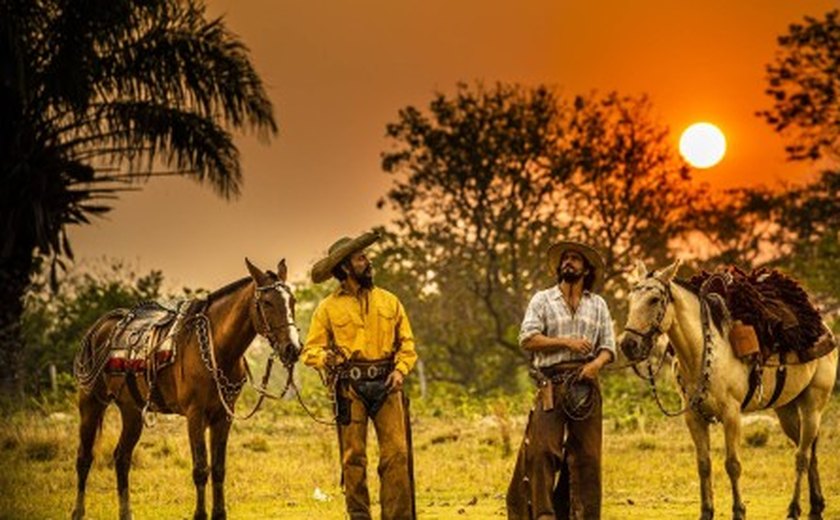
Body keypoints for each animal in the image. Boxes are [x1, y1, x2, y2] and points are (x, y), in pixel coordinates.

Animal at [71, 258, 302, 516]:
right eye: (267, 302)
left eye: (292, 301)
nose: (293, 348)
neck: (215, 347)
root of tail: (99, 328)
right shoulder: (195, 414)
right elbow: (200, 469)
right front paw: (200, 514)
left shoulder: (223, 416)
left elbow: (218, 469)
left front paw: (219, 514)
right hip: (90, 404)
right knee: (84, 458)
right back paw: (78, 512)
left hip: (131, 411)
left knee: (122, 458)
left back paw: (125, 514)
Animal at [620, 258, 836, 520]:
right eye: (631, 299)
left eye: (654, 300)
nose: (628, 344)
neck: (703, 352)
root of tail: (823, 327)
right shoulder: (694, 418)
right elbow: (703, 464)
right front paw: (706, 512)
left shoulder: (731, 415)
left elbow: (733, 465)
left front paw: (739, 511)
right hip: (786, 409)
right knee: (810, 451)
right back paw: (816, 506)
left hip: (813, 405)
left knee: (802, 456)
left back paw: (795, 508)